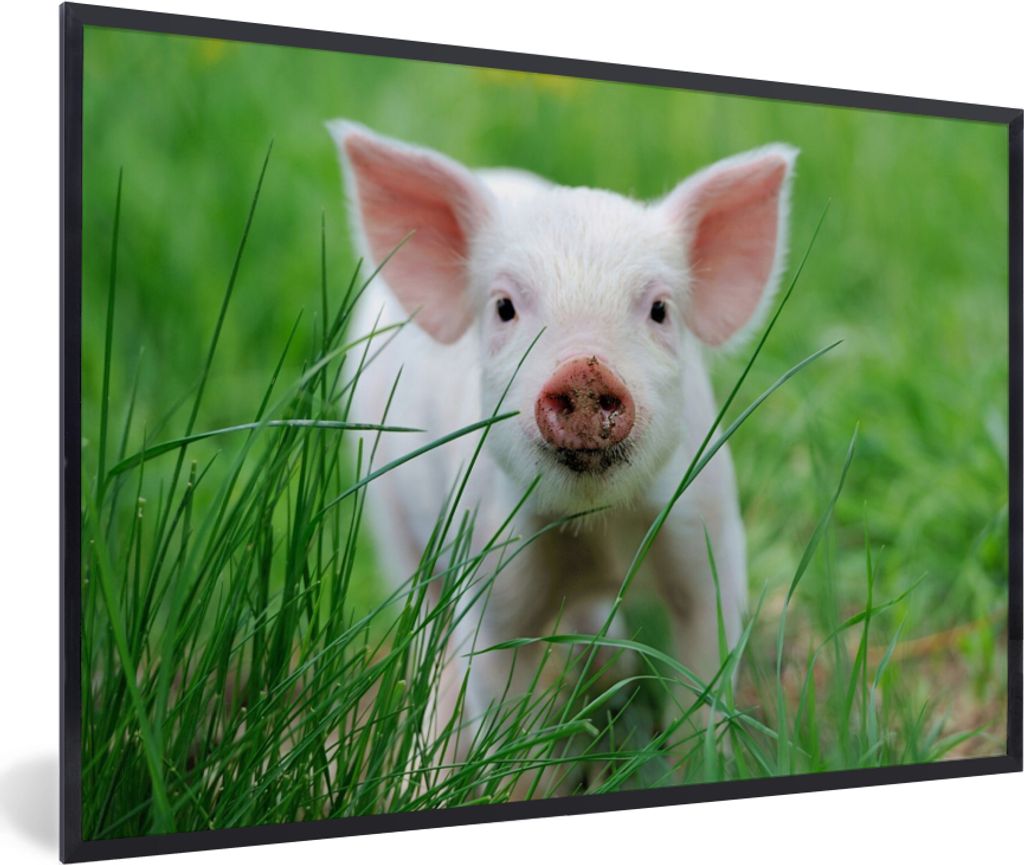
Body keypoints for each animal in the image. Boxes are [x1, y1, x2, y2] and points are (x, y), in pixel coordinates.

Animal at [328, 120, 796, 783]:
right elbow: (501, 698)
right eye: (504, 307)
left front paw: (695, 769)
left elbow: (703, 675)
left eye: (660, 309)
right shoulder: (489, 564)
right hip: (388, 513)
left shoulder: (710, 537)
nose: (584, 369)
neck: (593, 527)